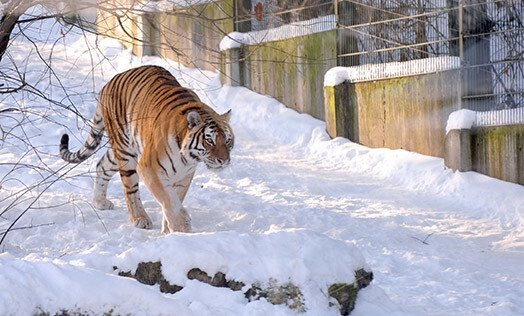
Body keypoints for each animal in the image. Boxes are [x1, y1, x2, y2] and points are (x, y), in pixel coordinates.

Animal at [57, 65, 235, 233]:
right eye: (209, 140)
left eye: (227, 141)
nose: (223, 161)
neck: (187, 156)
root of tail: (108, 83)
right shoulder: (150, 168)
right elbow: (169, 199)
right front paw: (181, 229)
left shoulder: (185, 174)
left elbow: (176, 198)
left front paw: (169, 228)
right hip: (125, 152)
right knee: (131, 189)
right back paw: (140, 219)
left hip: (121, 150)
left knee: (101, 165)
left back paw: (99, 202)